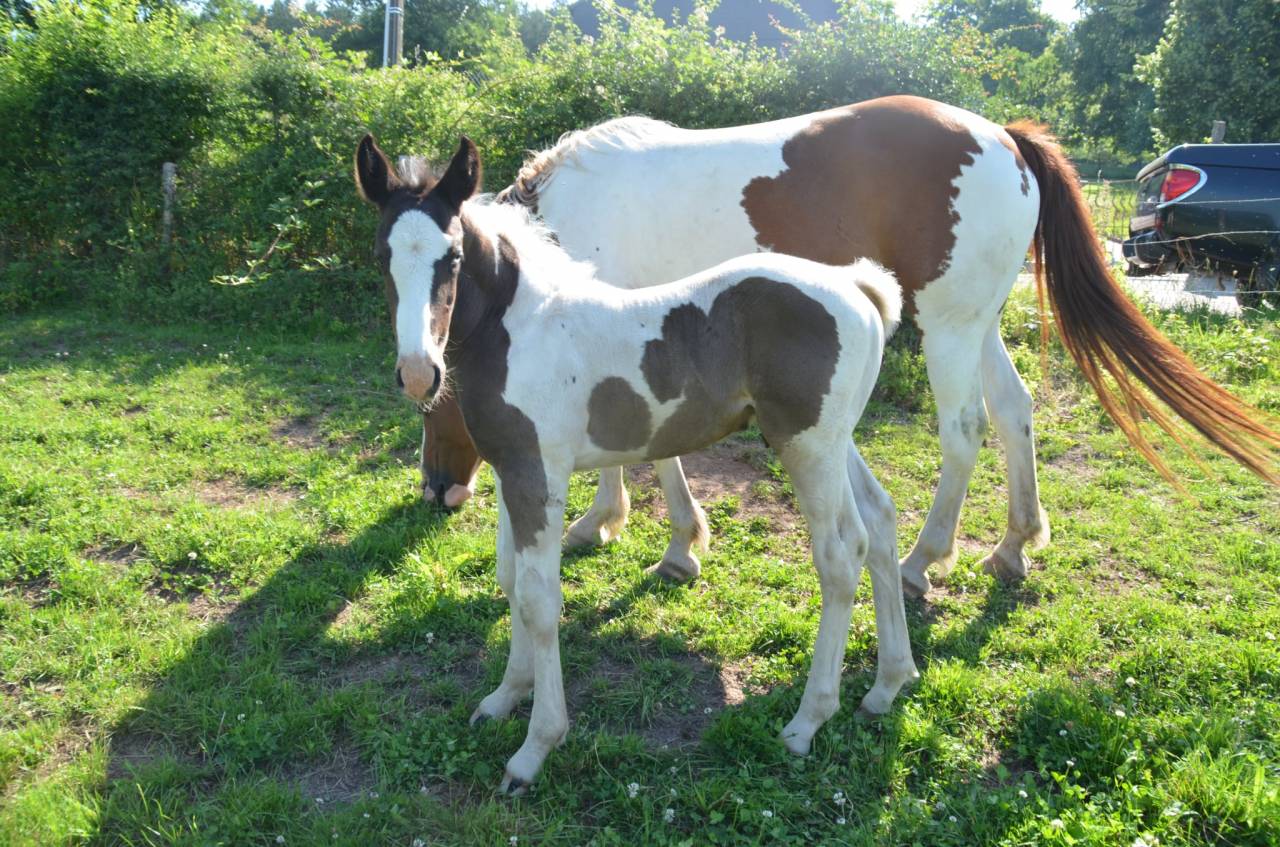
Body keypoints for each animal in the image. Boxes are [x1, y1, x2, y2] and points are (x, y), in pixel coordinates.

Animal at [355, 133, 919, 793]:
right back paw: (886, 685)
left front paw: (535, 747)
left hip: (807, 447)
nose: (420, 372)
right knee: (879, 521)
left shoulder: (538, 475)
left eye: (451, 258)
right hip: (833, 440)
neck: (520, 328)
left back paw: (808, 720)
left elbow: (540, 600)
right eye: (381, 256)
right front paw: (504, 697)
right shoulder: (514, 470)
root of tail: (857, 287)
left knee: (840, 554)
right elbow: (511, 581)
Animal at [412, 96, 1280, 597]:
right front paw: (619, 522)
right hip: (977, 323)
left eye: (437, 392)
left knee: (964, 430)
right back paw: (1013, 545)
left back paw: (924, 560)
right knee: (1015, 412)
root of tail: (1002, 137)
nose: (436, 490)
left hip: (949, 326)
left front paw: (664, 538)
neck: (561, 219)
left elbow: (656, 455)